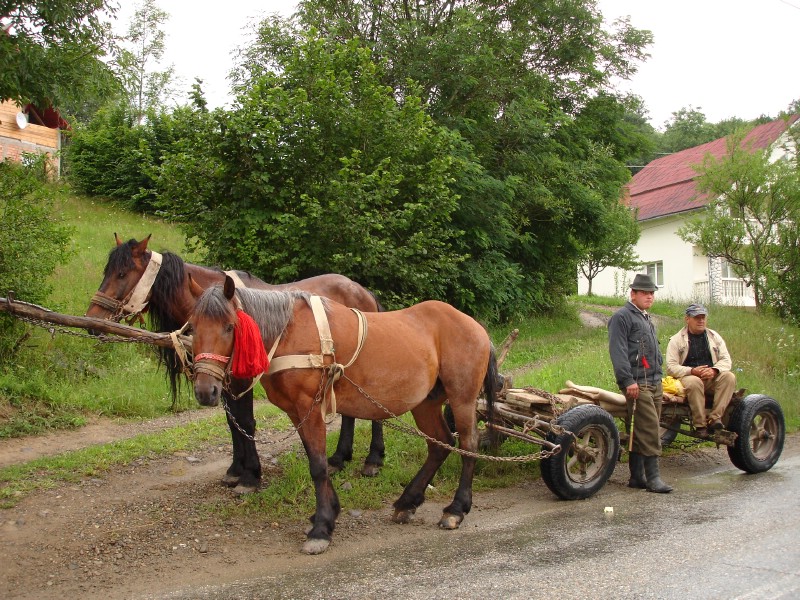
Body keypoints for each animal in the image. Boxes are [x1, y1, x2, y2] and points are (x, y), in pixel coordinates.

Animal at [86, 234, 386, 492]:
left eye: (122, 273)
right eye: (107, 271)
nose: (92, 321)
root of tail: (362, 291)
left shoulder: (241, 380)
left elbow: (246, 421)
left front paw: (251, 476)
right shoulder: (219, 380)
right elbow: (233, 423)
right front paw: (235, 470)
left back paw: (373, 459)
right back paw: (339, 458)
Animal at [190, 274, 496, 556]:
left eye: (229, 326)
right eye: (192, 328)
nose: (206, 391)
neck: (288, 334)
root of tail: (474, 325)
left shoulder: (309, 408)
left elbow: (318, 466)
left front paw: (321, 528)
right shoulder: (297, 413)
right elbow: (318, 462)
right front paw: (327, 513)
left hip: (462, 399)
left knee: (468, 445)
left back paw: (456, 509)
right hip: (425, 402)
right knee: (439, 444)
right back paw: (408, 501)